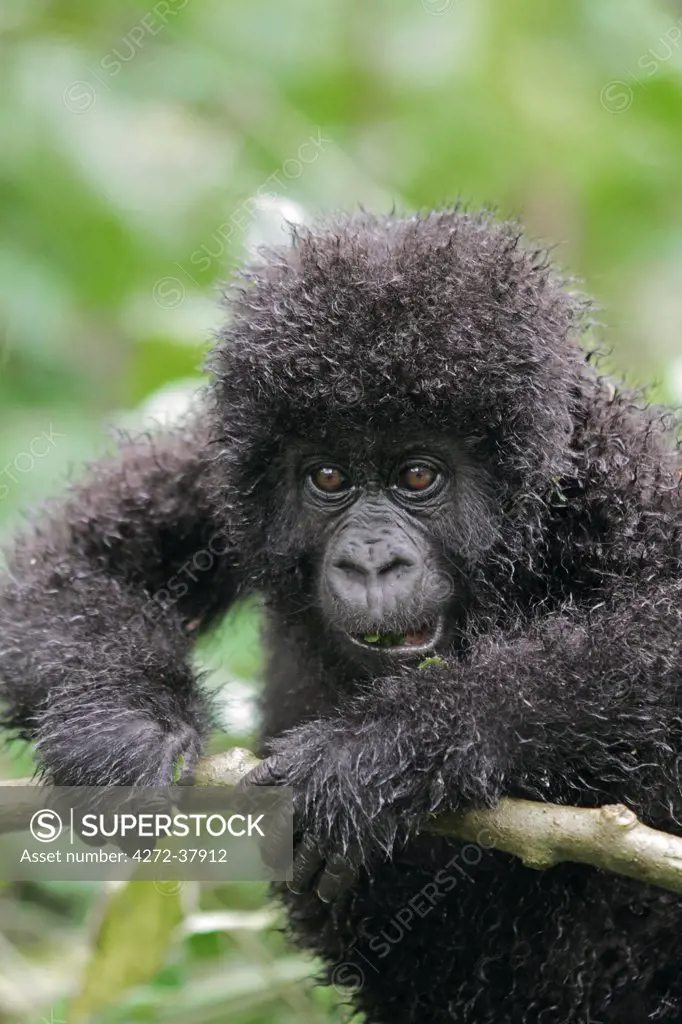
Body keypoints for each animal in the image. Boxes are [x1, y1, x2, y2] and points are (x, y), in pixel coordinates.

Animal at [1, 209, 679, 1024]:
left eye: (417, 475)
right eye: (328, 476)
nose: (371, 562)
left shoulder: (616, 472)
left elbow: (663, 628)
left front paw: (382, 751)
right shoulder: (216, 464)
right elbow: (70, 562)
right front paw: (123, 721)